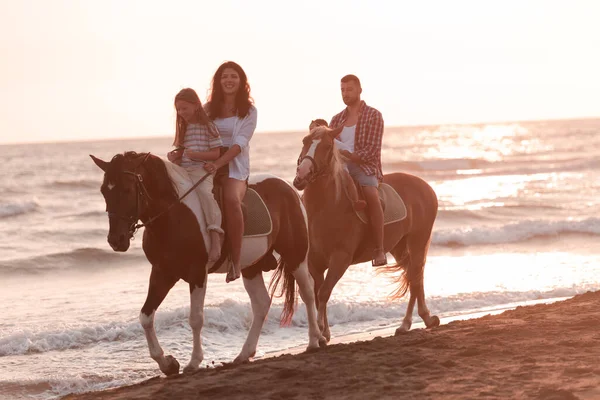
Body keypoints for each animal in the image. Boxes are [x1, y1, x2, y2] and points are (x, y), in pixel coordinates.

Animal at [90, 151, 324, 376]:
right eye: (103, 191)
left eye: (127, 190)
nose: (116, 240)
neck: (173, 214)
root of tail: (287, 187)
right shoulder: (162, 272)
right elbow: (145, 317)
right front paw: (168, 364)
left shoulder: (197, 274)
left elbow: (195, 319)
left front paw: (193, 362)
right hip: (251, 267)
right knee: (261, 304)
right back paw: (244, 354)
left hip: (296, 256)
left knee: (307, 291)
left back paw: (314, 340)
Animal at [292, 130, 438, 342]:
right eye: (305, 141)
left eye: (327, 146)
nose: (301, 175)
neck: (324, 209)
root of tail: (425, 186)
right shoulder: (314, 263)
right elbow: (319, 294)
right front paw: (324, 333)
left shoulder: (340, 259)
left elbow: (325, 292)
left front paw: (320, 332)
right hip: (399, 247)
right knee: (413, 277)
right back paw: (417, 321)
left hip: (418, 241)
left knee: (416, 276)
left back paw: (408, 323)